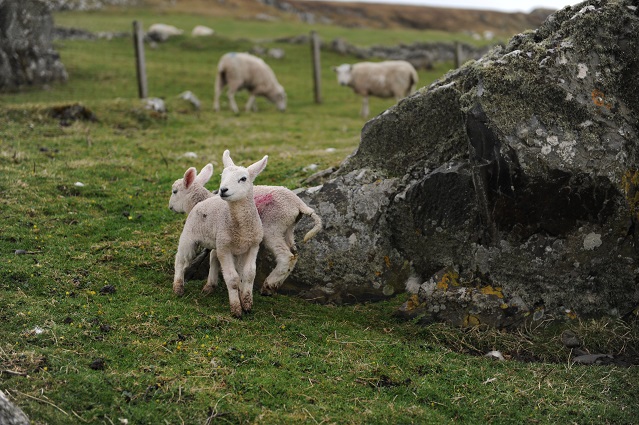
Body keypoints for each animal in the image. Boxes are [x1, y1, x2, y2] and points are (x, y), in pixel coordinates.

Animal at [169, 161, 322, 294]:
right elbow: (214, 257)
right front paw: (211, 284)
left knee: (286, 256)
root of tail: (298, 203)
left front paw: (209, 285)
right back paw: (276, 284)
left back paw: (268, 285)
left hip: (273, 228)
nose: (170, 207)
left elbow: (213, 257)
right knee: (294, 254)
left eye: (175, 191)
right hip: (288, 229)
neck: (202, 201)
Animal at [172, 149, 268, 314]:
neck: (242, 227)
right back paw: (178, 287)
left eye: (243, 178)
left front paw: (247, 303)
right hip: (189, 236)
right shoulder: (224, 247)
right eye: (222, 176)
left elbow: (249, 274)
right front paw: (236, 308)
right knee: (180, 259)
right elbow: (232, 278)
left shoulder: (253, 246)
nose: (223, 190)